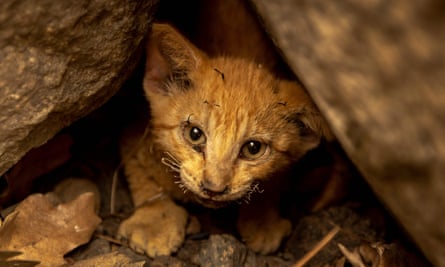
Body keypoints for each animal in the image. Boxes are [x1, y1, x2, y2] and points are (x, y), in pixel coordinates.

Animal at [116, 1, 332, 260]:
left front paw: (262, 219)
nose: (213, 188)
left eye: (253, 148)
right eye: (195, 134)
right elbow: (142, 176)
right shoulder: (133, 129)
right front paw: (154, 221)